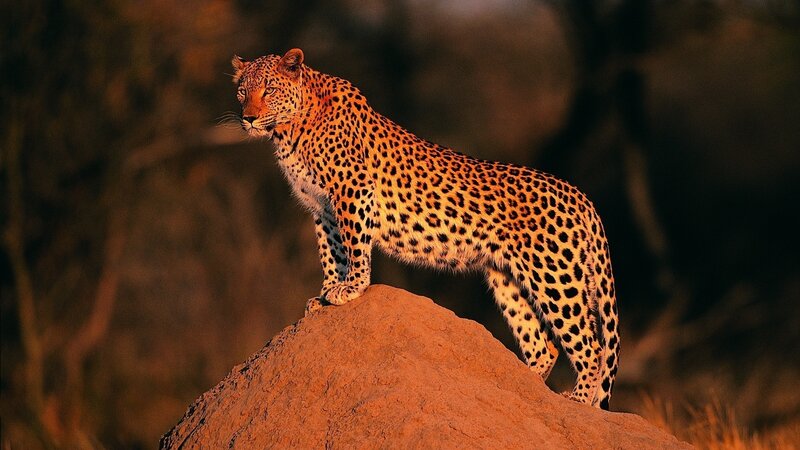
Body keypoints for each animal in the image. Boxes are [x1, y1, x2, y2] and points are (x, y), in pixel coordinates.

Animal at [231, 48, 620, 410]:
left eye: (269, 89)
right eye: (241, 92)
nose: (248, 118)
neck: (290, 129)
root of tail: (579, 196)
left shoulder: (353, 190)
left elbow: (354, 246)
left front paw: (351, 288)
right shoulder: (322, 208)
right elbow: (332, 252)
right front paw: (327, 291)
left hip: (555, 276)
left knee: (591, 346)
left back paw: (578, 399)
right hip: (508, 277)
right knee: (544, 344)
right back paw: (520, 388)